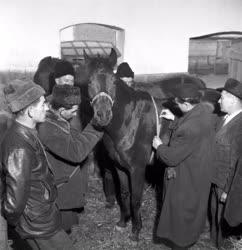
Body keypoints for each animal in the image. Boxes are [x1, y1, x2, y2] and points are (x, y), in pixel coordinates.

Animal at [83, 48, 206, 240]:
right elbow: (124, 194)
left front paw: (136, 230)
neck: (128, 121)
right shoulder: (120, 167)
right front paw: (122, 222)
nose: (103, 114)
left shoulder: (137, 168)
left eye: (113, 80)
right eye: (89, 81)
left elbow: (135, 198)